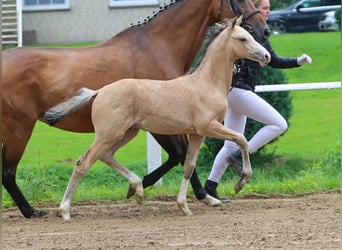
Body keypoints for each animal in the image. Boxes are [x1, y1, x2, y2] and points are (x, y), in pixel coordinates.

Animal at [2, 0, 270, 218]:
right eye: (243, 37)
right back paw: (49, 210)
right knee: (59, 165)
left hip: (126, 132)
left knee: (104, 155)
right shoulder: (193, 128)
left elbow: (187, 163)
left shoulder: (194, 132)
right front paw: (235, 184)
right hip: (26, 129)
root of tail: (98, 91)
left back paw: (136, 190)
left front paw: (194, 200)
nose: (265, 36)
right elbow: (228, 143)